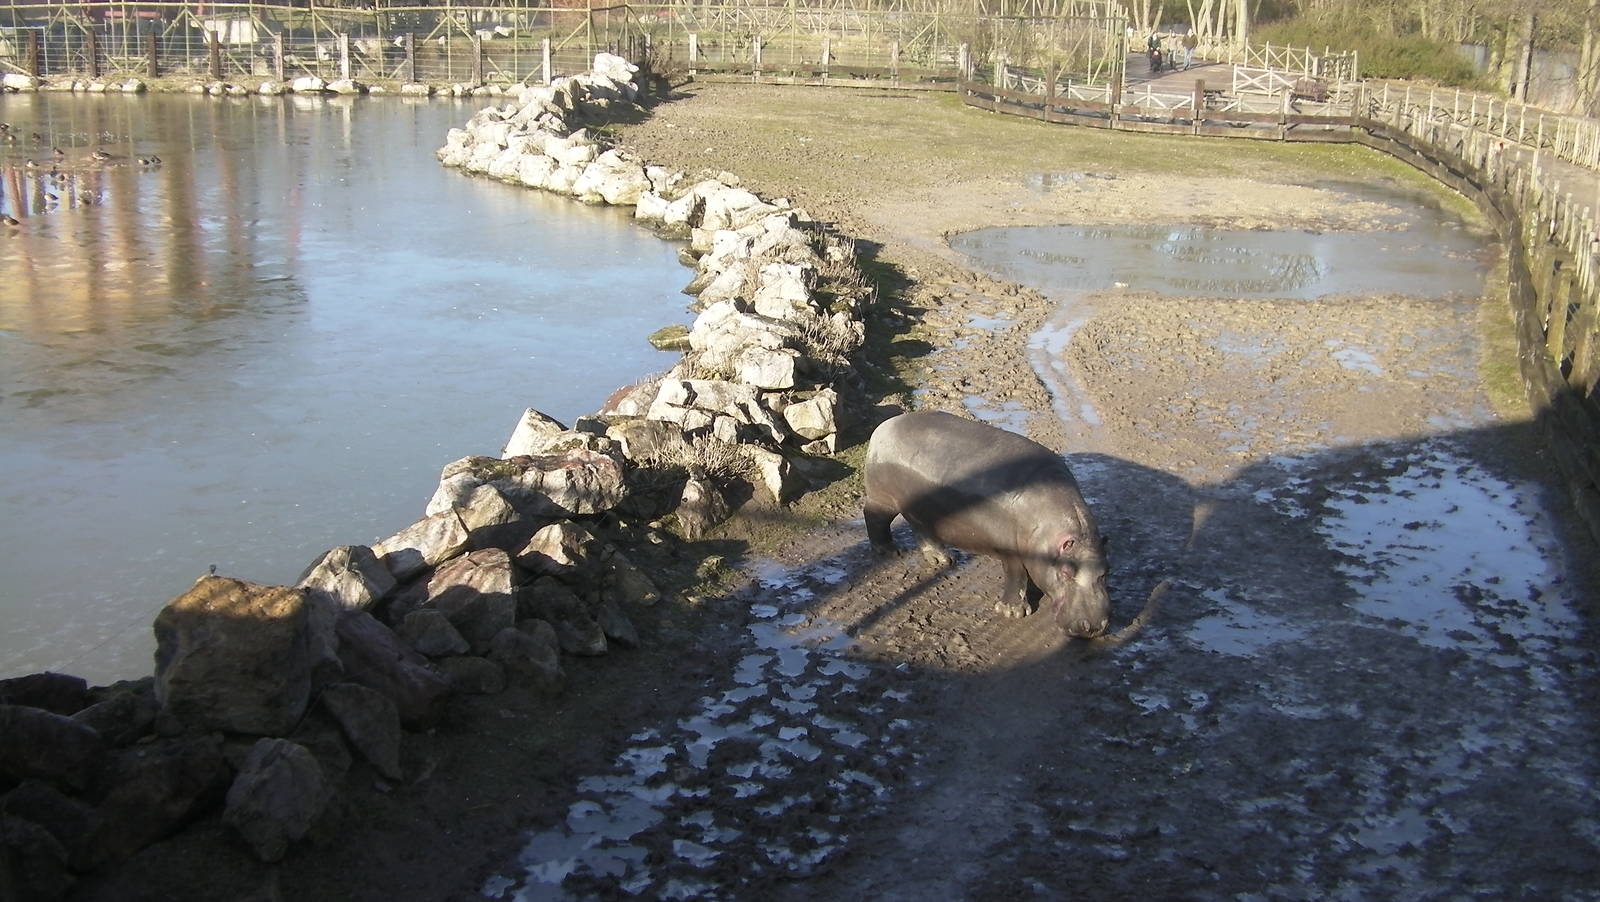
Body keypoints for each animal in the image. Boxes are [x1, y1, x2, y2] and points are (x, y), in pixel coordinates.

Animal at [863, 410, 1110, 637]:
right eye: (1066, 572)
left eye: (1104, 572)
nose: (1093, 627)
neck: (1047, 531)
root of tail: (884, 426)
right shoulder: (1009, 550)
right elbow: (1016, 575)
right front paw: (1012, 612)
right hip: (883, 499)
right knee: (874, 517)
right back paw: (890, 551)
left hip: (924, 509)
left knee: (921, 529)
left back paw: (943, 560)